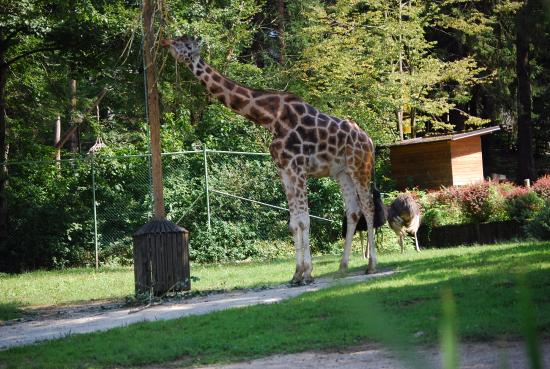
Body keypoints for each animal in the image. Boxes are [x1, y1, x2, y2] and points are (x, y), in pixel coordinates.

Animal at [163, 36, 388, 284]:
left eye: (187, 45)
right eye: (176, 39)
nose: (166, 44)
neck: (270, 118)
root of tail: (369, 140)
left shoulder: (298, 167)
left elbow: (304, 220)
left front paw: (307, 274)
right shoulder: (284, 169)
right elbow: (294, 222)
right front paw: (297, 274)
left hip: (360, 167)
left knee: (368, 208)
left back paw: (371, 266)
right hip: (342, 172)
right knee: (352, 211)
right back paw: (342, 267)